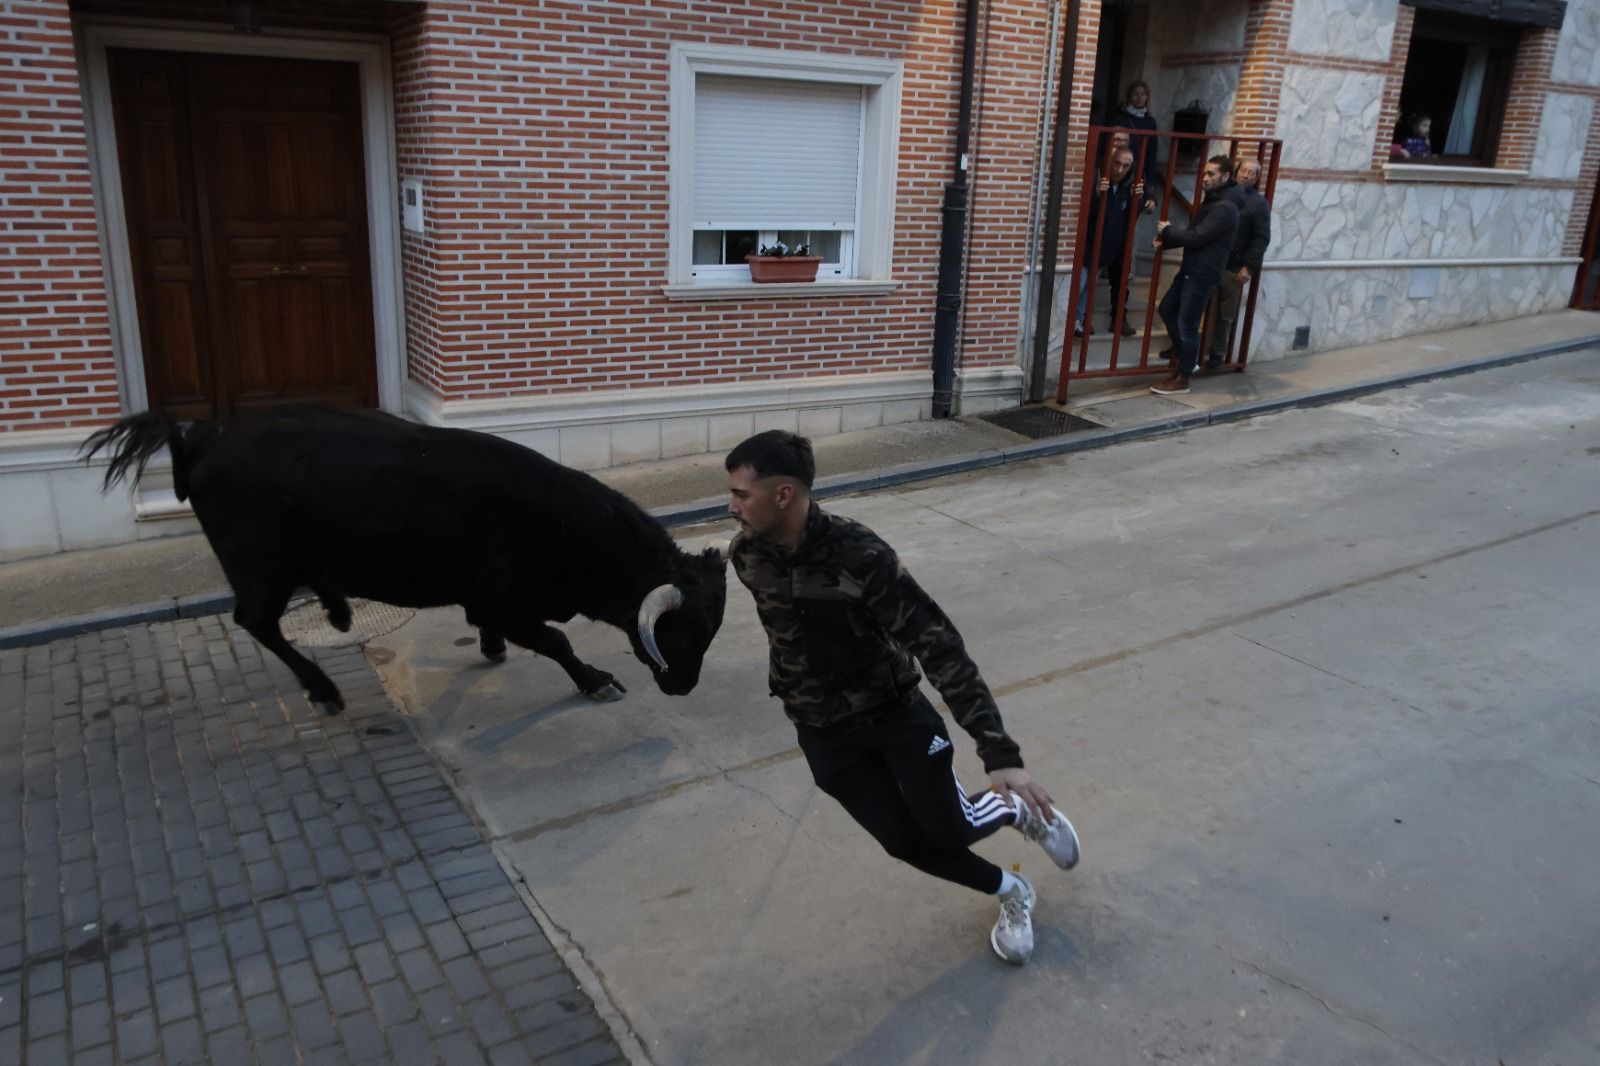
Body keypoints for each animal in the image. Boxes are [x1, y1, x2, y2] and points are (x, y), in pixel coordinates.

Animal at [84, 406, 729, 713]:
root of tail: (206, 438)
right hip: (259, 566)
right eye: (679, 634)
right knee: (256, 621)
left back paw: (339, 612)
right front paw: (595, 680)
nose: (682, 688)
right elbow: (557, 642)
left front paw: (490, 647)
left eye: (708, 633)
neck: (564, 529)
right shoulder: (509, 602)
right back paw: (323, 687)